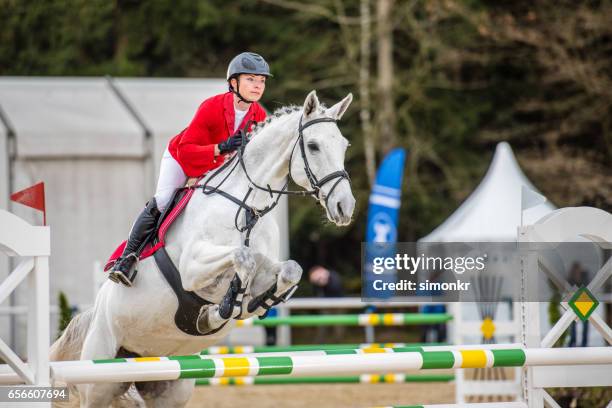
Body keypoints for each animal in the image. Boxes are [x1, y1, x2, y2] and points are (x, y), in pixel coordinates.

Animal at [50, 91, 356, 406]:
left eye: (343, 145)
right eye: (313, 146)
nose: (345, 207)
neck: (248, 207)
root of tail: (96, 313)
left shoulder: (269, 264)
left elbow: (290, 269)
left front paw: (258, 301)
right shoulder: (192, 267)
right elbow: (244, 256)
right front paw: (222, 308)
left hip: (169, 386)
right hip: (99, 379)